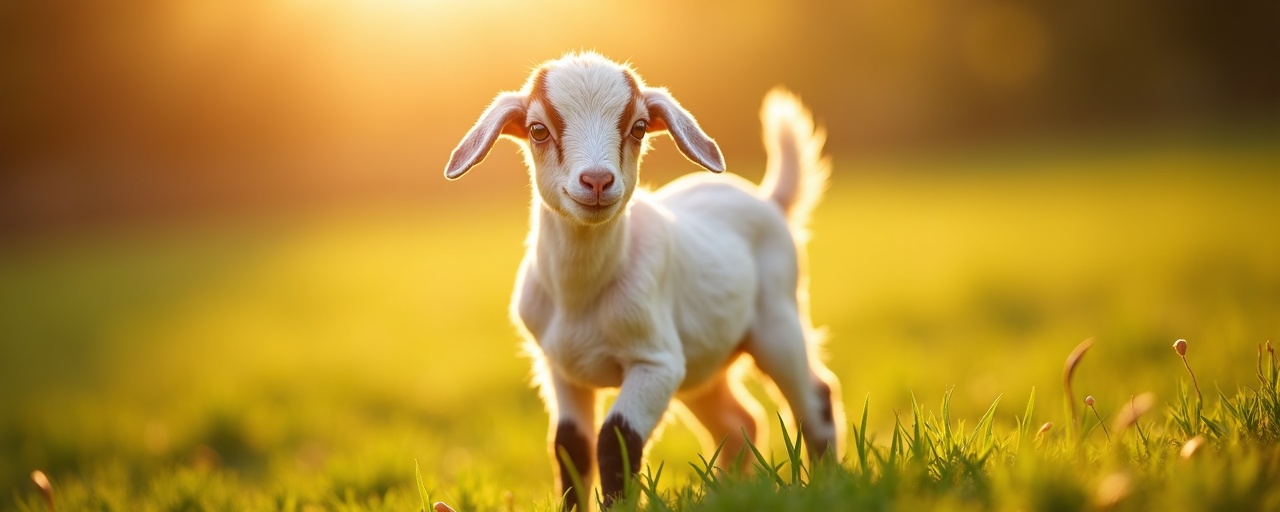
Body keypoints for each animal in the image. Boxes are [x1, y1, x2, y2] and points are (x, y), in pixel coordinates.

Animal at [444, 52, 843, 510]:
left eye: (637, 127)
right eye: (537, 130)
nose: (597, 181)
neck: (582, 292)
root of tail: (768, 200)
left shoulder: (657, 363)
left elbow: (616, 437)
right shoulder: (561, 369)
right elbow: (570, 444)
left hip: (777, 323)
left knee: (815, 395)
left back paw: (828, 482)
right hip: (702, 361)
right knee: (738, 419)